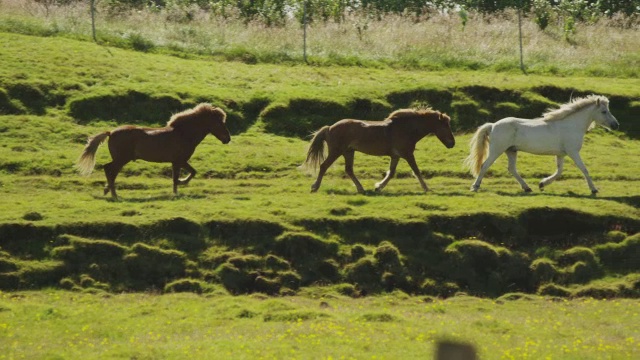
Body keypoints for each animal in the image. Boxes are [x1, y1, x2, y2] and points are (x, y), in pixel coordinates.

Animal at [78, 102, 231, 198]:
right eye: (219, 123)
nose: (227, 139)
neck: (183, 133)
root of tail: (111, 132)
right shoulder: (179, 161)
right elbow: (185, 175)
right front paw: (179, 187)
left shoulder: (177, 162)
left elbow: (183, 175)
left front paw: (177, 189)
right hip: (121, 159)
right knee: (109, 170)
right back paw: (114, 195)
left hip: (121, 160)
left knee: (110, 171)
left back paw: (108, 191)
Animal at [302, 107, 456, 194]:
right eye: (445, 125)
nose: (452, 143)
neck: (406, 128)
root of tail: (329, 128)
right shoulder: (407, 154)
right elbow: (416, 171)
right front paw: (427, 189)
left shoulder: (396, 156)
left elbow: (391, 173)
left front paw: (378, 187)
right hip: (337, 151)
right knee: (324, 166)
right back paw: (315, 187)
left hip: (348, 152)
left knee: (349, 170)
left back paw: (361, 189)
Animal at [464, 94, 620, 193]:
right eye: (604, 111)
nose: (616, 125)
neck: (571, 125)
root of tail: (492, 125)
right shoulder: (573, 152)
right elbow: (584, 169)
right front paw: (594, 189)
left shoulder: (561, 154)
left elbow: (559, 172)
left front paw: (542, 184)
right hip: (497, 150)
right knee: (485, 165)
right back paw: (475, 187)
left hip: (511, 150)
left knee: (512, 169)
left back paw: (527, 188)